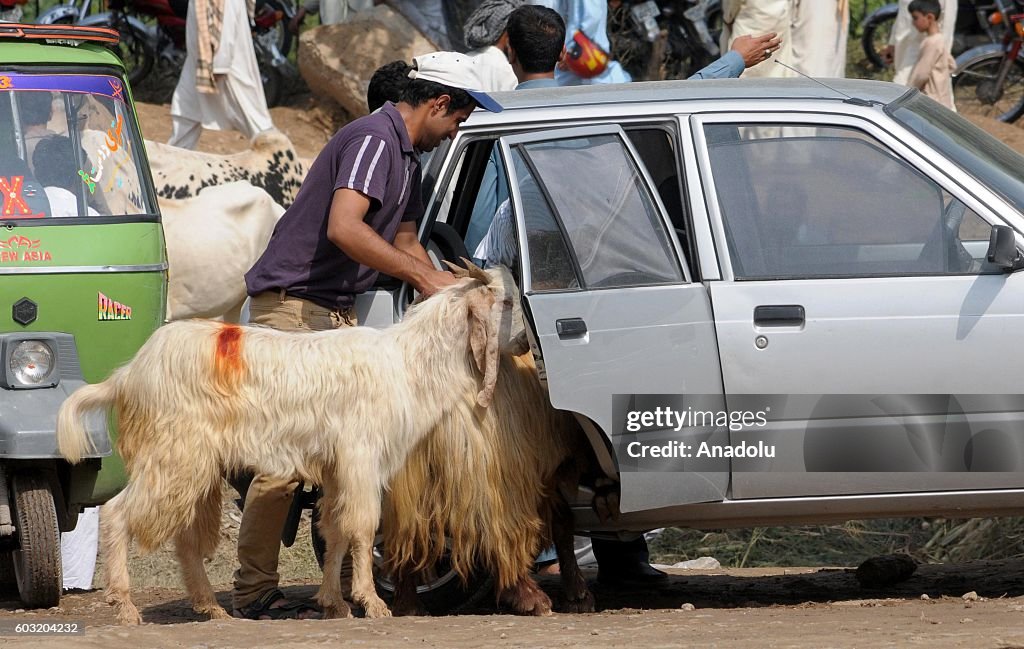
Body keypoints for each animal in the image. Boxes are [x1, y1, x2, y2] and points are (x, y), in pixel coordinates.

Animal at [55, 262, 524, 622]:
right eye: (504, 302)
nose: (523, 340)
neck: (407, 363)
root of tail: (130, 372)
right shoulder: (361, 456)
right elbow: (361, 525)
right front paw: (371, 603)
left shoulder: (337, 467)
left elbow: (334, 528)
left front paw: (333, 603)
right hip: (170, 454)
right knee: (117, 512)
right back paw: (125, 605)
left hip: (194, 464)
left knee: (186, 536)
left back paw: (210, 608)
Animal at [380, 352, 598, 614]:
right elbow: (559, 523)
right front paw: (577, 594)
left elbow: (563, 521)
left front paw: (577, 594)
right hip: (486, 467)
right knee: (499, 529)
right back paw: (529, 597)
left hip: (411, 479)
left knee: (405, 534)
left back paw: (408, 605)